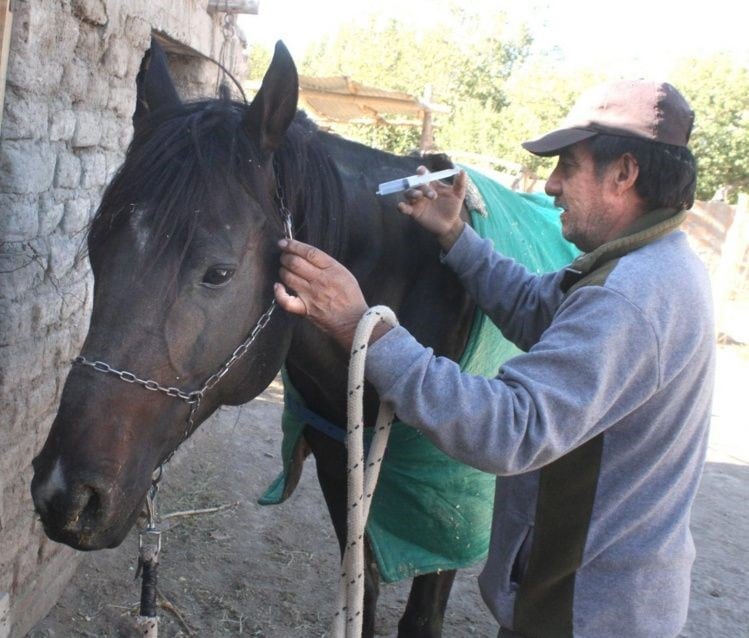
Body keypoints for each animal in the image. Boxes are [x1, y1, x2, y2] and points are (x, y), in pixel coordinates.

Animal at [30, 41, 572, 638]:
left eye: (218, 273)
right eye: (96, 250)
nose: (65, 493)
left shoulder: (452, 501)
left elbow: (423, 616)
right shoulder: (339, 451)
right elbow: (361, 591)